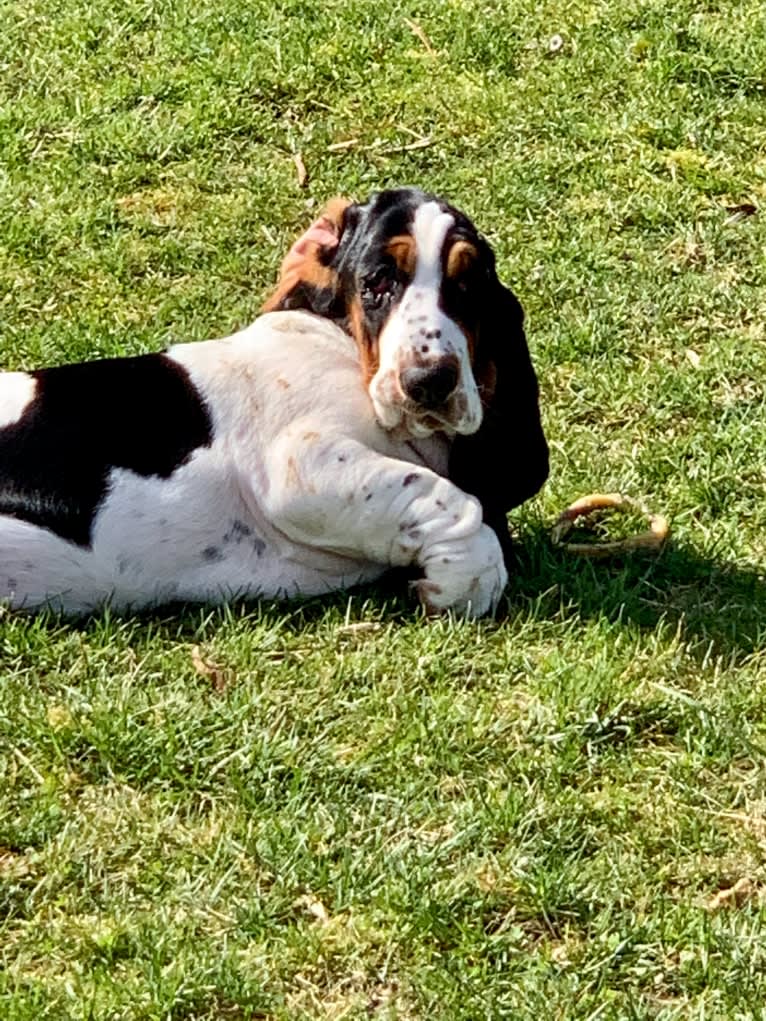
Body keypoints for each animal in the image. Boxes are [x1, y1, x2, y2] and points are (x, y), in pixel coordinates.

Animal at [0, 187, 547, 612]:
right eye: (377, 281)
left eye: (469, 285)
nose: (430, 381)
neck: (343, 346)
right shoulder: (300, 461)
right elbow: (453, 505)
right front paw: (456, 583)